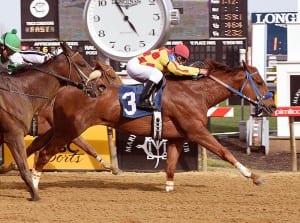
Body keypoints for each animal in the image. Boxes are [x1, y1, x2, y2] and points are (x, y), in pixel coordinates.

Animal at [0, 42, 94, 201]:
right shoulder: (14, 135)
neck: (21, 93)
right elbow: (23, 167)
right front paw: (34, 194)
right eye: (82, 63)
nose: (100, 86)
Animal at [26, 60, 276, 191]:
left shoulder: (177, 137)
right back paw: (35, 184)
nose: (272, 106)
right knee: (44, 153)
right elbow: (224, 151)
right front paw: (253, 176)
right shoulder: (196, 130)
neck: (195, 93)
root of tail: (63, 89)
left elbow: (171, 165)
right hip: (69, 129)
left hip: (59, 128)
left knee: (37, 146)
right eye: (260, 81)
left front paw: (168, 188)